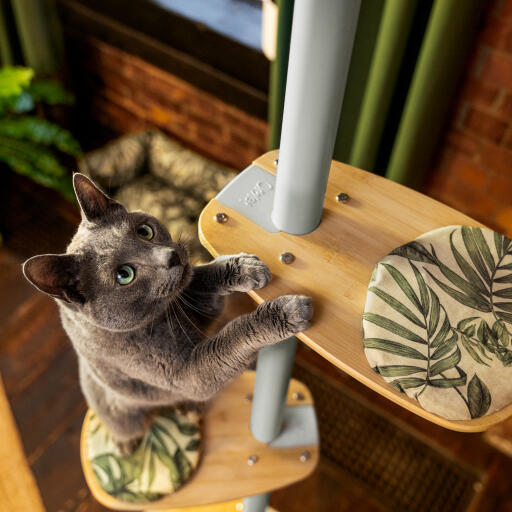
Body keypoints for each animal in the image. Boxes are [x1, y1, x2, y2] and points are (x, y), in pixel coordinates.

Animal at [23, 175, 312, 452]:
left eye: (145, 231)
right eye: (124, 274)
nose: (171, 256)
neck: (166, 316)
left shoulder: (197, 303)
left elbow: (200, 275)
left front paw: (246, 267)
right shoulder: (187, 375)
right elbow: (233, 336)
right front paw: (288, 311)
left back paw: (189, 410)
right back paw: (126, 445)